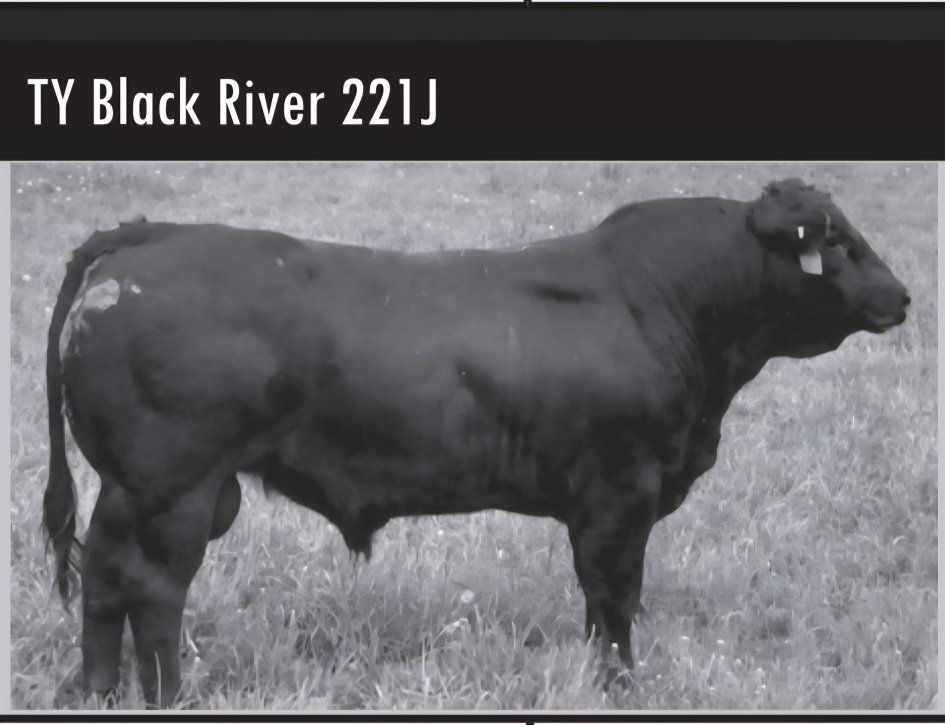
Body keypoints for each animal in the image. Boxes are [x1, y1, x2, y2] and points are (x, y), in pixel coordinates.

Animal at [43, 179, 909, 707]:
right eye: (835, 242)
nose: (901, 296)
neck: (662, 301)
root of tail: (149, 235)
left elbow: (599, 603)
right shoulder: (617, 494)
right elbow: (614, 596)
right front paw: (618, 685)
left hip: (139, 490)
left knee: (104, 580)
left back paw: (98, 690)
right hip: (174, 487)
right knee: (152, 588)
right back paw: (165, 695)